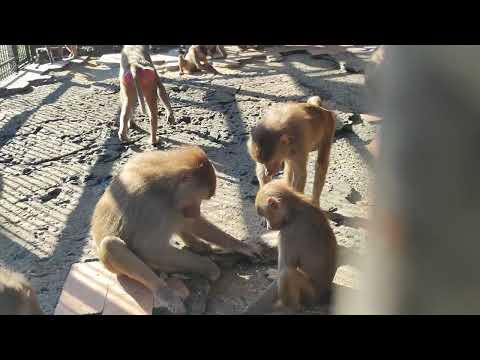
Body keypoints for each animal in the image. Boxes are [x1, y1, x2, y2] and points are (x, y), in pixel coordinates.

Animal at [90, 145, 262, 314]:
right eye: (199, 199)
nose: (197, 211)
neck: (167, 186)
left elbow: (192, 222)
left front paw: (241, 246)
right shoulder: (151, 205)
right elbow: (149, 249)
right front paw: (209, 267)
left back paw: (197, 246)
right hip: (117, 267)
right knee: (111, 245)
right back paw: (165, 290)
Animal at [244, 180, 338, 316]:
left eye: (265, 215)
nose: (267, 226)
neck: (294, 210)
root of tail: (324, 295)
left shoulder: (288, 233)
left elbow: (286, 266)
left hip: (310, 295)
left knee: (287, 273)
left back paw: (288, 308)